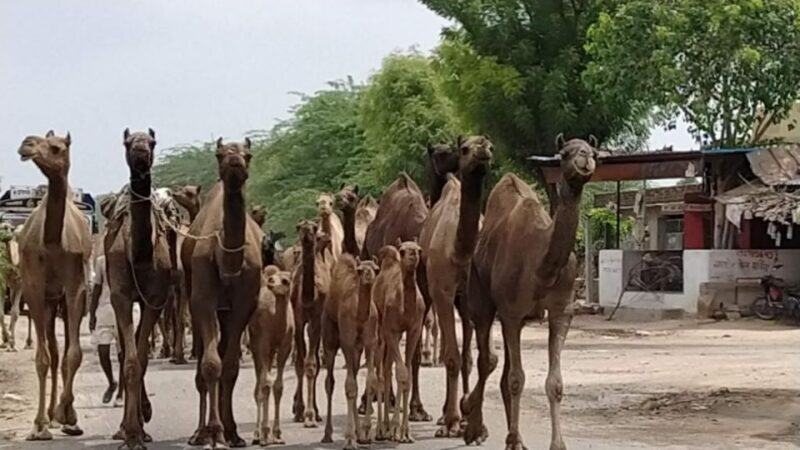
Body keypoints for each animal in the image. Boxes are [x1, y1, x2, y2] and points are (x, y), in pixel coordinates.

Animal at [185, 137, 263, 449]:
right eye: (219, 154)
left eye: (248, 154)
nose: (234, 161)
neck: (227, 259)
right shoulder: (202, 301)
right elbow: (210, 365)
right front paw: (214, 431)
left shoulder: (244, 304)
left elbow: (229, 366)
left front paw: (231, 432)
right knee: (202, 364)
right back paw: (199, 432)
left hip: (226, 310)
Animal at [321, 255, 380, 449]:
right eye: (360, 270)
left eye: (376, 269)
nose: (368, 276)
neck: (359, 316)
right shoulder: (347, 342)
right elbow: (349, 387)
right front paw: (348, 439)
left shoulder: (370, 342)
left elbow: (370, 382)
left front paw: (366, 433)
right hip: (330, 339)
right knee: (330, 382)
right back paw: (327, 434)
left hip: (357, 349)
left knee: (353, 375)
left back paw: (359, 435)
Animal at [373, 240, 425, 443]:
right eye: (403, 251)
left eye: (419, 250)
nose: (413, 255)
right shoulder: (390, 329)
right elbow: (401, 373)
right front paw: (396, 430)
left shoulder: (414, 330)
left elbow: (407, 374)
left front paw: (405, 432)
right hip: (380, 330)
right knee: (381, 373)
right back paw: (381, 429)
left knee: (388, 369)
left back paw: (386, 428)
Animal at [462, 138, 597, 450]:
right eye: (565, 153)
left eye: (594, 151)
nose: (585, 159)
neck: (541, 265)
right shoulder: (511, 312)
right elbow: (516, 379)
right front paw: (511, 439)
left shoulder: (561, 312)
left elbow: (554, 383)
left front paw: (557, 444)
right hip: (482, 300)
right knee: (487, 358)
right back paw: (472, 422)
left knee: (499, 368)